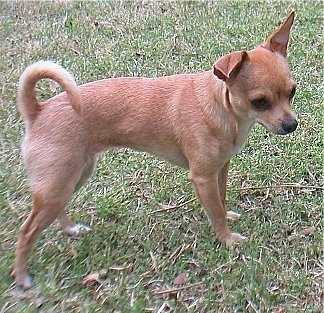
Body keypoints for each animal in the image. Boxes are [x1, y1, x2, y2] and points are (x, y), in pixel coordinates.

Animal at [12, 12, 298, 288]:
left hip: (72, 178)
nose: (292, 124)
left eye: (292, 92)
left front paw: (226, 216)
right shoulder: (203, 177)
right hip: (59, 183)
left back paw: (71, 230)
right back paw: (21, 277)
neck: (223, 108)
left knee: (55, 210)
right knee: (26, 231)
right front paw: (226, 238)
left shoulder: (220, 169)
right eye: (259, 102)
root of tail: (38, 111)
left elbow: (221, 198)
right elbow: (215, 211)